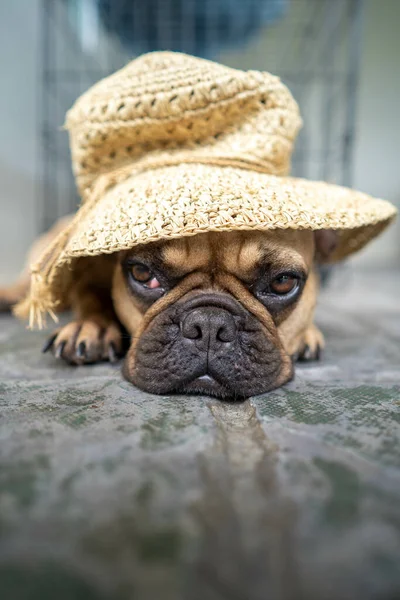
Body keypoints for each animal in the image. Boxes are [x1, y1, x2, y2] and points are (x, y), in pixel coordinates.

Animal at [0, 220, 338, 398]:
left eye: (282, 281)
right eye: (142, 273)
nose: (209, 325)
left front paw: (307, 334)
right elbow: (90, 297)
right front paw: (90, 327)